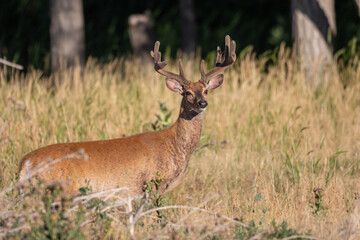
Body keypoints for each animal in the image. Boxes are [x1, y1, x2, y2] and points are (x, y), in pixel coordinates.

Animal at [18, 36, 236, 197]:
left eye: (205, 91)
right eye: (187, 92)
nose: (202, 103)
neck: (176, 146)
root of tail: (23, 163)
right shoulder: (154, 181)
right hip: (58, 189)